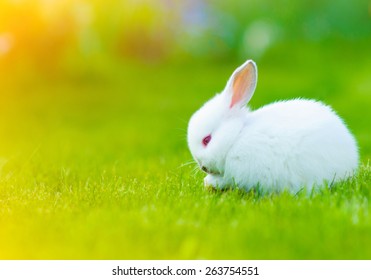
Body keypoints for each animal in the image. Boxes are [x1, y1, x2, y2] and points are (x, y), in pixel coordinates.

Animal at [189, 59, 360, 192]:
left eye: (207, 140)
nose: (203, 167)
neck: (236, 137)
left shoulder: (239, 172)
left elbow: (226, 180)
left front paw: (209, 182)